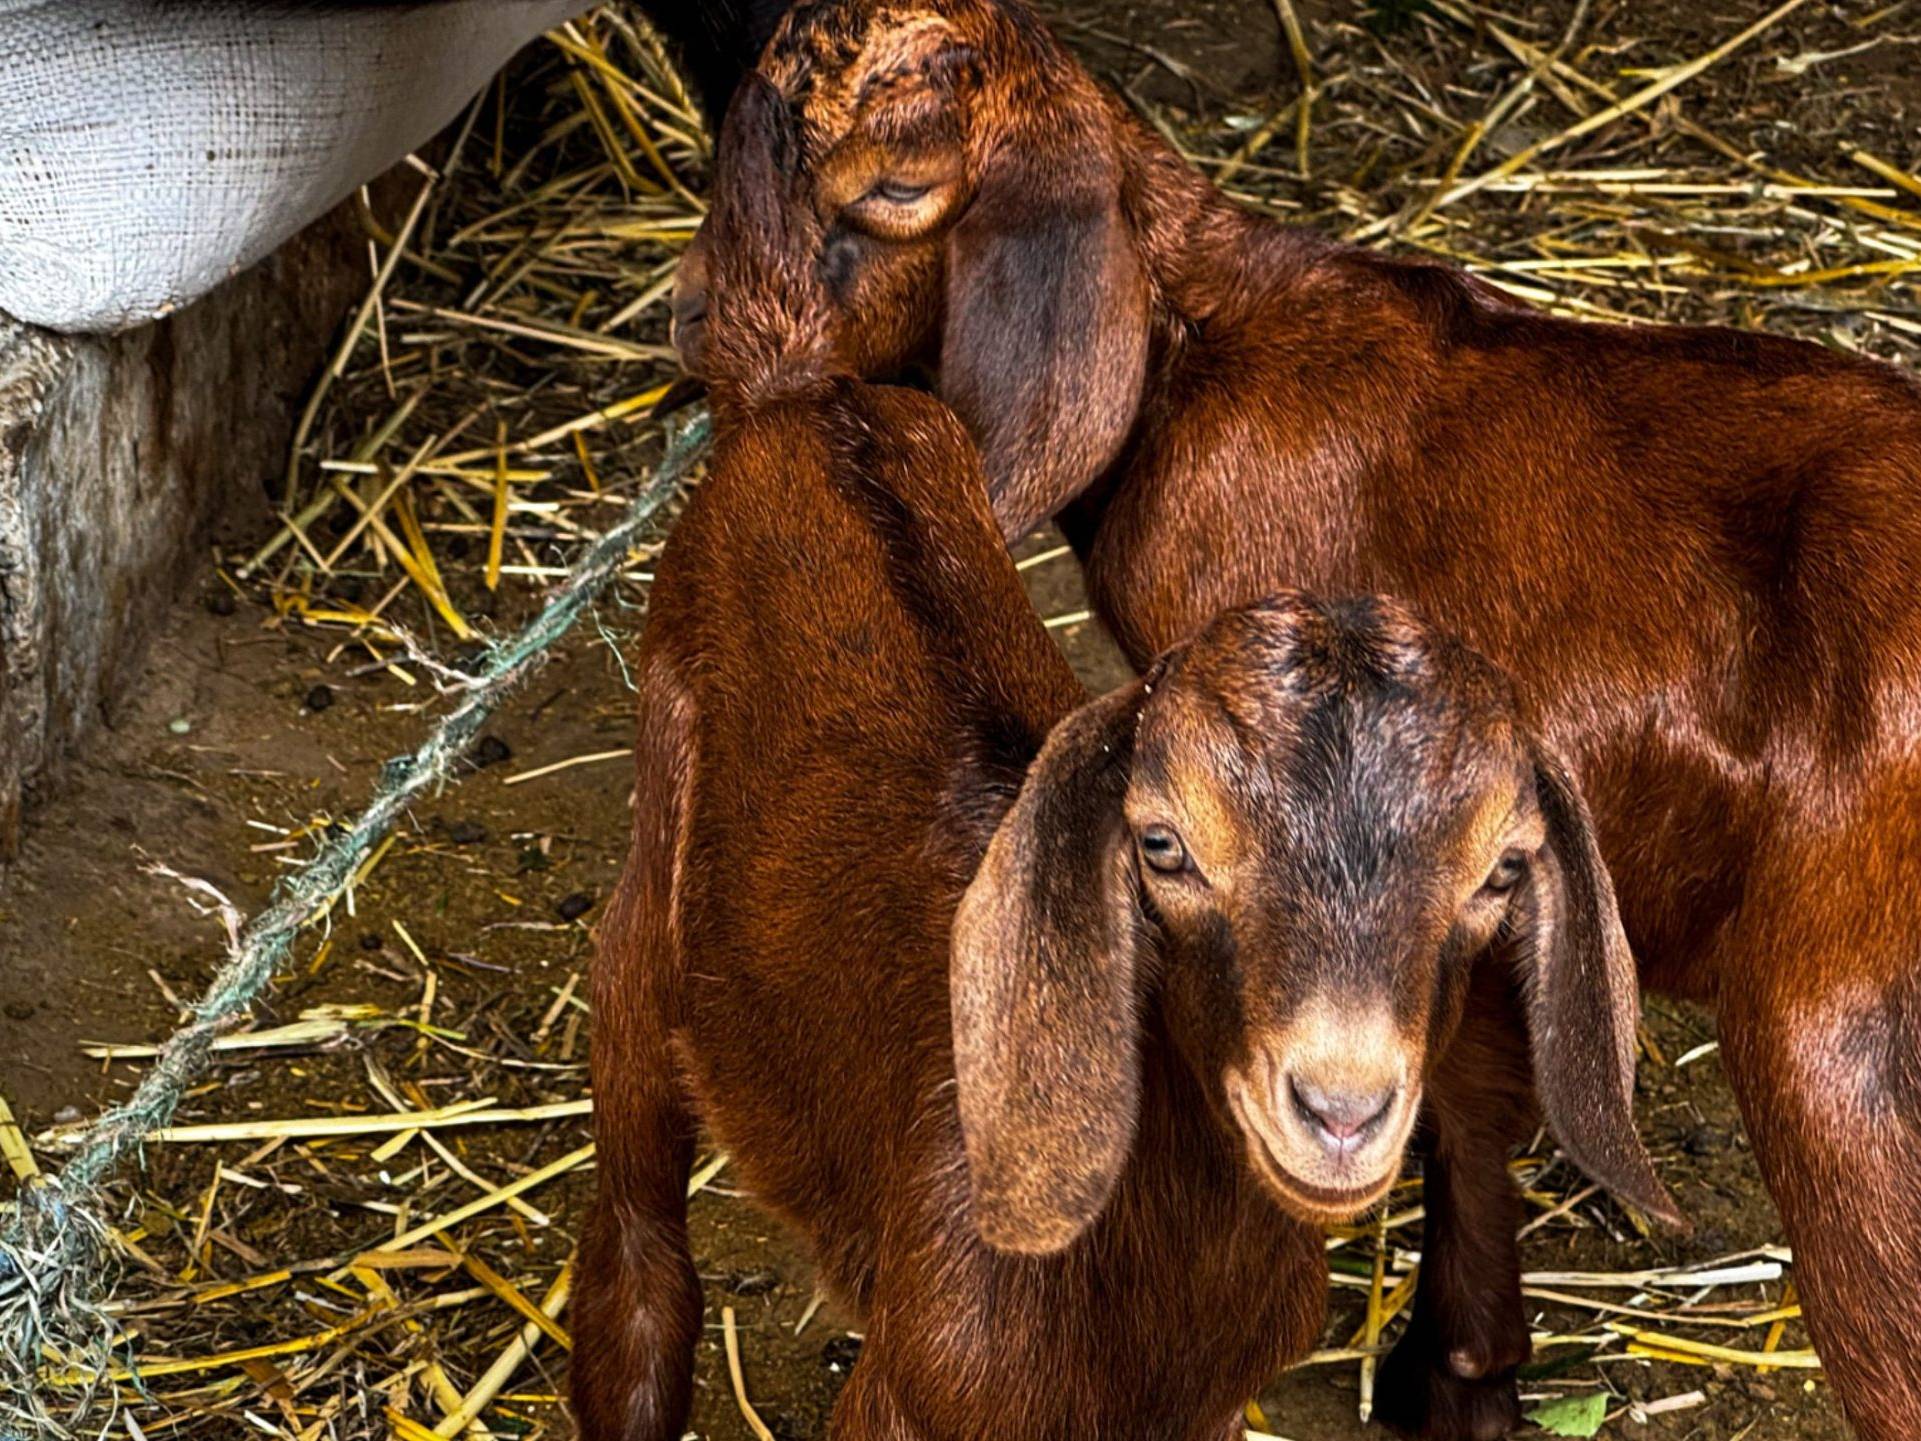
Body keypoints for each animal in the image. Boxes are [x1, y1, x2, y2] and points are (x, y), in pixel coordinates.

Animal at [576, 76, 1675, 1441]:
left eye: (1500, 872)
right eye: (1162, 844)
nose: (1341, 1110)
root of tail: (805, 397)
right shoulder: (915, 1388)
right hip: (651, 867)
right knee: (633, 1244)